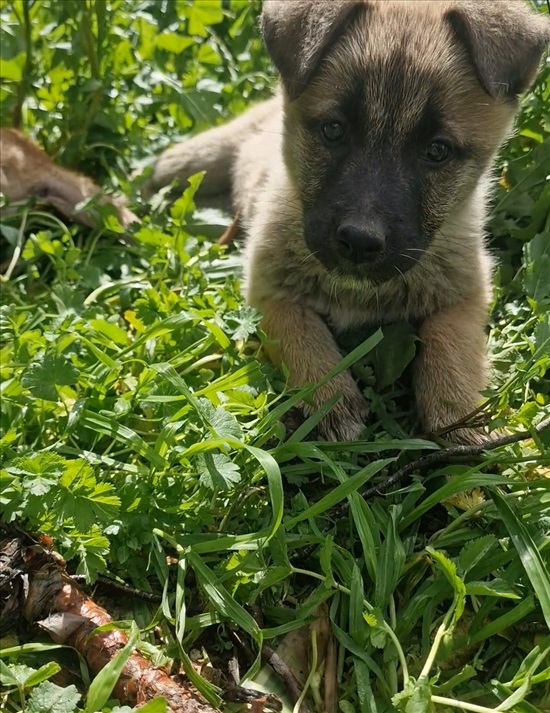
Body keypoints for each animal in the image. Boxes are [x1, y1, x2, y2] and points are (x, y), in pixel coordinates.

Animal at [144, 0, 548, 442]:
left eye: (437, 151)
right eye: (334, 130)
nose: (358, 241)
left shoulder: (466, 293)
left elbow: (452, 346)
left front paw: (459, 419)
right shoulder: (266, 290)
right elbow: (301, 334)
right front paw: (330, 400)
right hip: (203, 159)